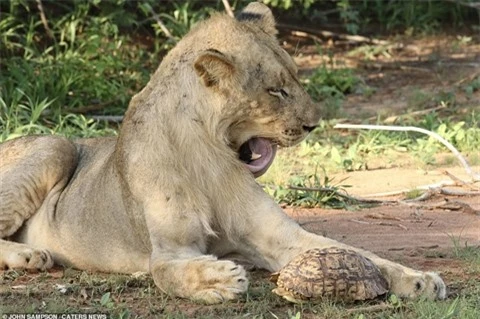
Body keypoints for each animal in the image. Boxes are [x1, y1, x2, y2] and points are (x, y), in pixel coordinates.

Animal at [0, 2, 446, 304]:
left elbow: (364, 255)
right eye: (276, 90)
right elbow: (170, 274)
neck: (212, 155)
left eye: (296, 78)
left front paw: (420, 279)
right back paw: (30, 255)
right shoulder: (169, 251)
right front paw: (221, 279)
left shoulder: (280, 237)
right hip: (55, 144)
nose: (313, 124)